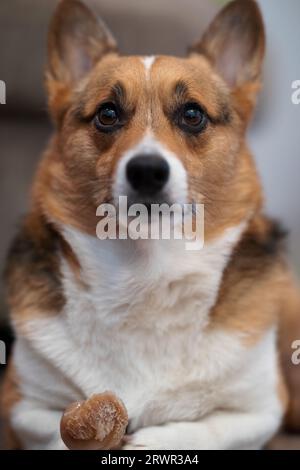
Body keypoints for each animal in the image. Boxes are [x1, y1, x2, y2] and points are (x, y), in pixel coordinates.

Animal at [0, 0, 300, 450]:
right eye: (107, 114)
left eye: (192, 114)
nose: (146, 171)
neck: (146, 269)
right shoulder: (22, 405)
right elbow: (57, 432)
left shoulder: (258, 411)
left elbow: (201, 430)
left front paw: (151, 441)